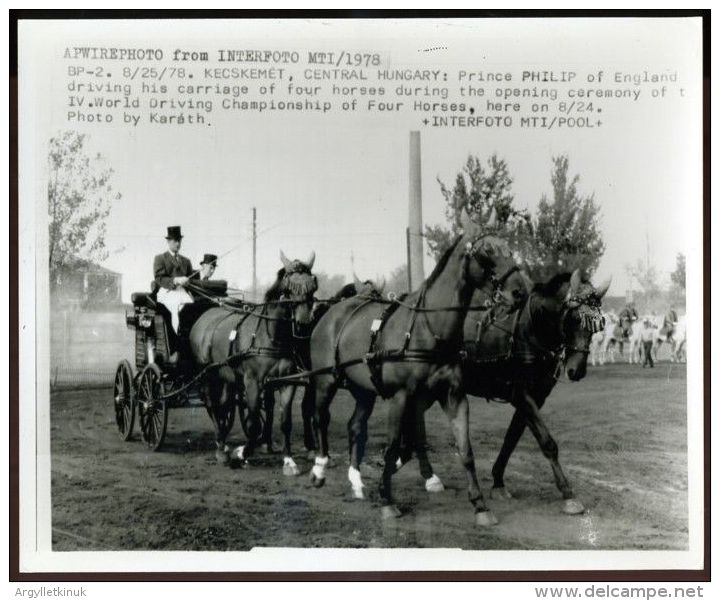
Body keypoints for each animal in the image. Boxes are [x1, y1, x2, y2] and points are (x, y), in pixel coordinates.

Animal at [306, 209, 520, 524]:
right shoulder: (401, 396)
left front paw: (480, 505)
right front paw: (387, 499)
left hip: (363, 389)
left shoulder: (453, 396)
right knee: (320, 418)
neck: (428, 329)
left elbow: (464, 450)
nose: (519, 291)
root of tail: (333, 309)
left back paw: (356, 481)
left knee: (356, 426)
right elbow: (395, 443)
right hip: (326, 381)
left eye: (508, 248)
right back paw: (320, 468)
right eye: (486, 251)